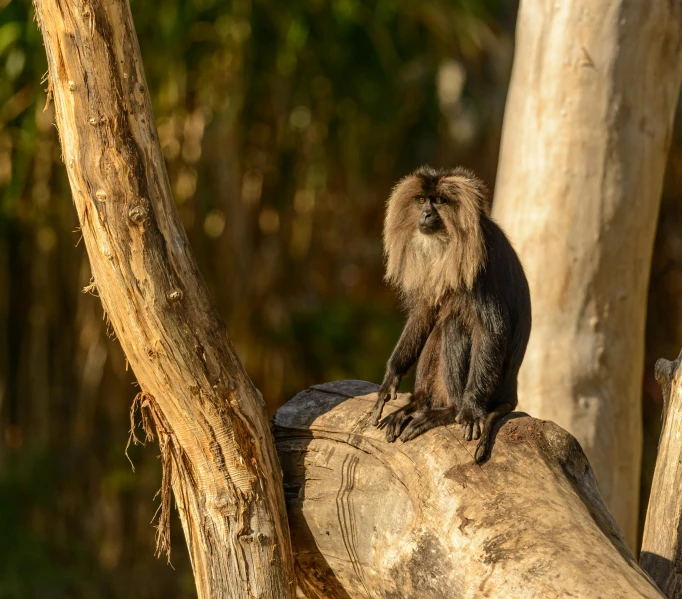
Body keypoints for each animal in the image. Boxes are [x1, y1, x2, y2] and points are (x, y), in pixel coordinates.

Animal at [370, 164, 528, 464]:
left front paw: (470, 410)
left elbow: (490, 330)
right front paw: (391, 378)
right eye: (422, 200)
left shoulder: (482, 262)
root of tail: (512, 390)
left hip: (495, 385)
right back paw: (416, 404)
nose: (426, 214)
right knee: (438, 330)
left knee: (454, 325)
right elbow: (424, 316)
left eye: (440, 201)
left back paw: (449, 411)